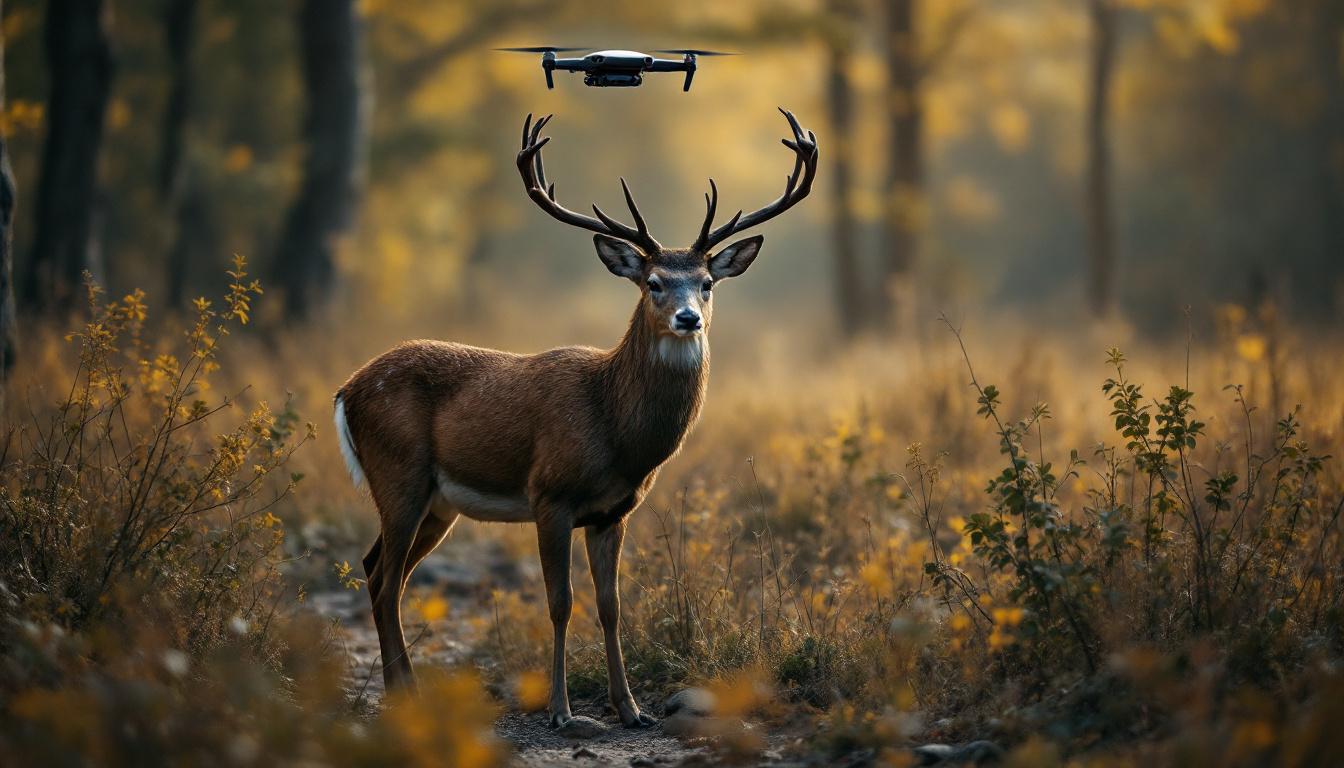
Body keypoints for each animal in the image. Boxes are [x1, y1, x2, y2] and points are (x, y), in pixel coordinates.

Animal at [334, 108, 817, 730]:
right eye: (653, 282)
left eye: (707, 284)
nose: (688, 318)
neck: (615, 430)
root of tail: (347, 390)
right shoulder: (551, 494)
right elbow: (560, 603)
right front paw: (561, 711)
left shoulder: (613, 511)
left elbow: (611, 607)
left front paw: (631, 708)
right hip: (399, 475)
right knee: (386, 578)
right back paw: (404, 697)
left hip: (439, 505)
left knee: (378, 572)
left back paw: (406, 692)